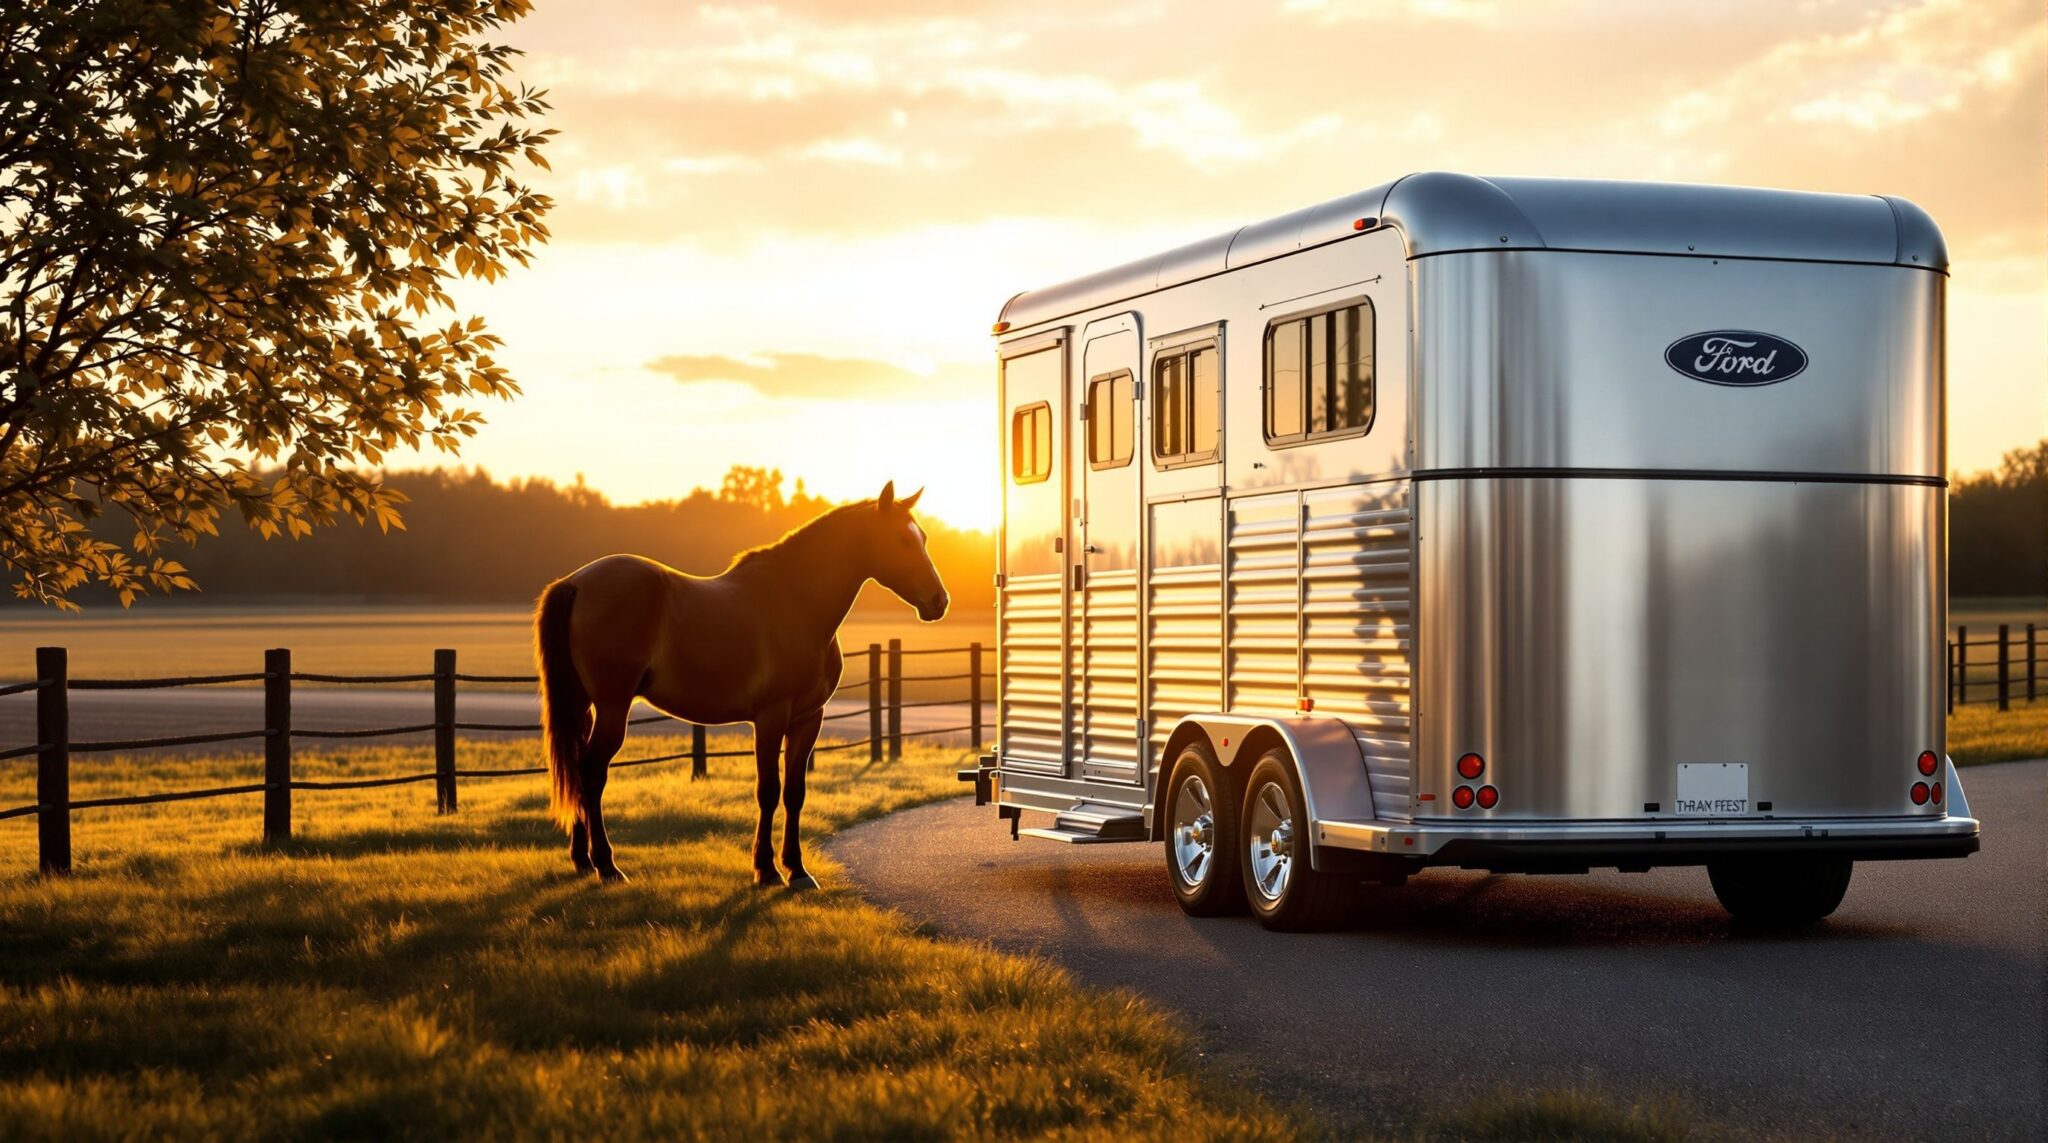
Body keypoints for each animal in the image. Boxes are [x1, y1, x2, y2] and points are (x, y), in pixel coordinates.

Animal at [532, 482, 949, 887]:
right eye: (901, 539)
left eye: (924, 537)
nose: (939, 601)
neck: (797, 602)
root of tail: (575, 582)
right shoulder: (770, 718)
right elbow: (768, 791)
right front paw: (766, 870)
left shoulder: (807, 719)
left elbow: (795, 793)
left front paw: (797, 869)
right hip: (613, 706)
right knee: (591, 772)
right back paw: (607, 865)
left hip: (583, 704)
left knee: (576, 768)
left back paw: (582, 860)